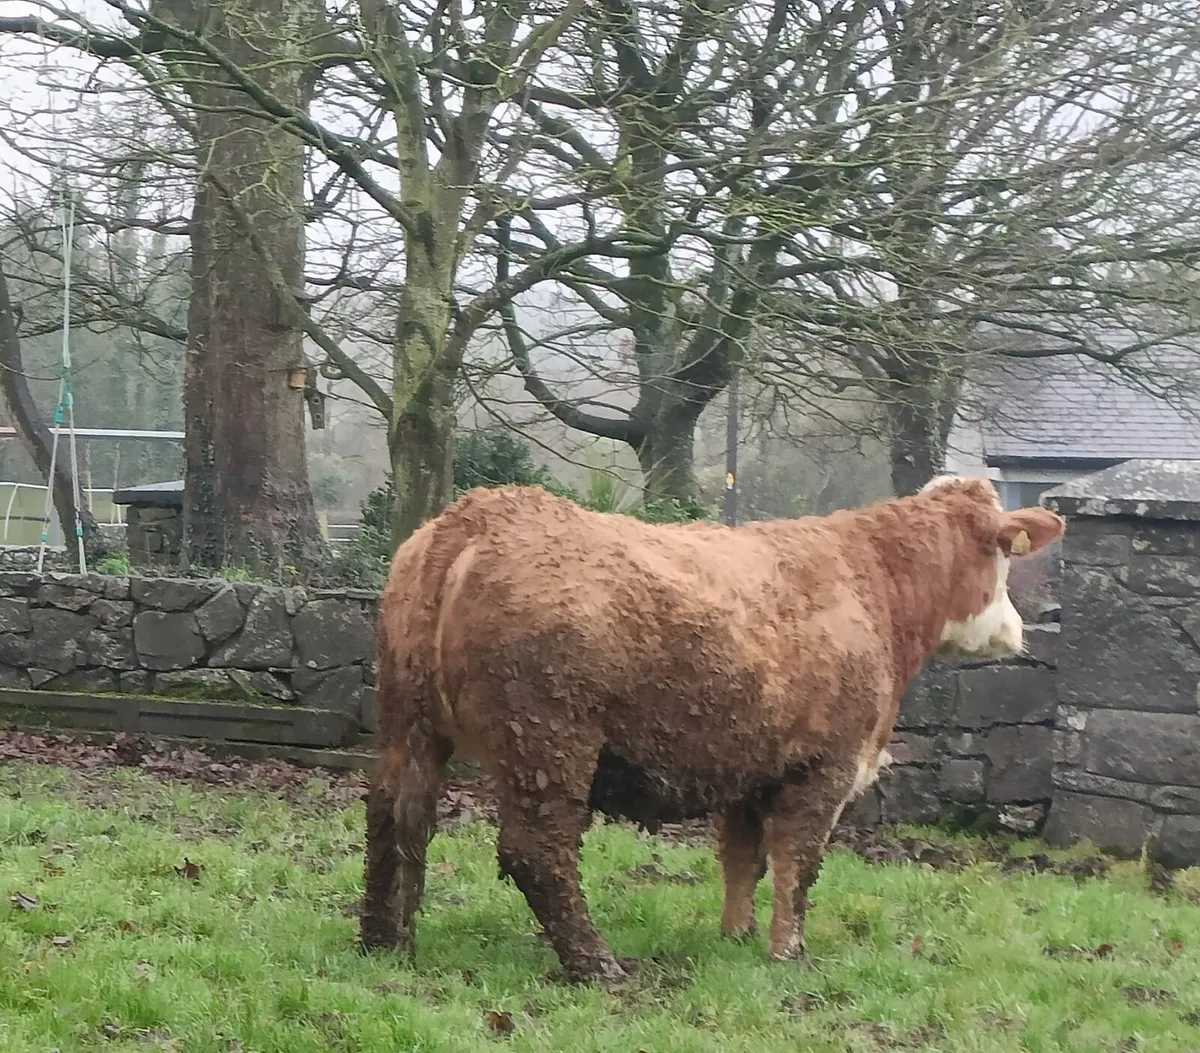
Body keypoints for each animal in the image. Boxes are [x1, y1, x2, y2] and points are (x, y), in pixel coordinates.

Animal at [359, 475, 1064, 983]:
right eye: (1003, 558)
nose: (1015, 630)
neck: (873, 587)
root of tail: (473, 515)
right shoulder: (827, 767)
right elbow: (799, 863)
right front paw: (788, 953)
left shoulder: (749, 768)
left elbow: (742, 858)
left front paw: (737, 935)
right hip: (548, 742)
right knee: (536, 852)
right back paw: (598, 965)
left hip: (407, 724)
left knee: (396, 818)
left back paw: (386, 942)